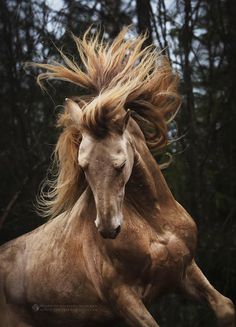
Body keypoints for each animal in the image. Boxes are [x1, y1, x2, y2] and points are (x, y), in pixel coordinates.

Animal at [0, 27, 234, 327]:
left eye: (121, 164)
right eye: (83, 166)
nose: (108, 229)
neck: (154, 225)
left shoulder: (185, 271)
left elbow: (226, 307)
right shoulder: (123, 298)